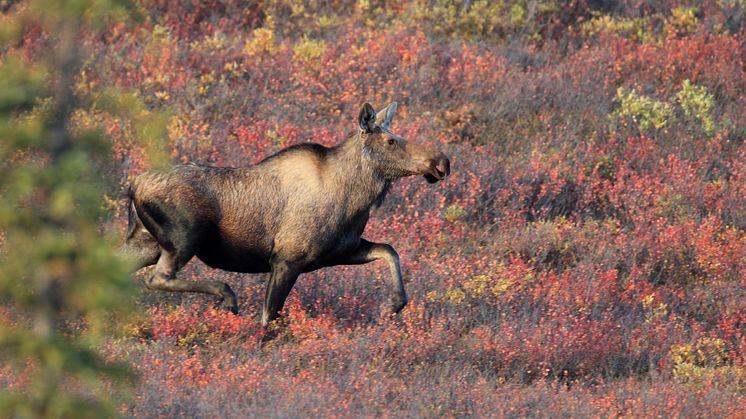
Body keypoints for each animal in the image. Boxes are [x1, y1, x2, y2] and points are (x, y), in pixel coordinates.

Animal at [123, 101, 448, 328]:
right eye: (391, 141)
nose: (442, 162)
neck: (356, 199)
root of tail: (133, 186)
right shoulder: (287, 259)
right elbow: (269, 319)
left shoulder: (342, 250)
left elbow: (389, 250)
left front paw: (393, 304)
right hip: (184, 238)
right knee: (157, 278)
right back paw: (227, 295)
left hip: (146, 243)